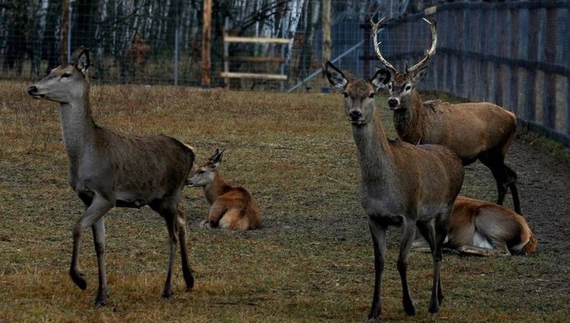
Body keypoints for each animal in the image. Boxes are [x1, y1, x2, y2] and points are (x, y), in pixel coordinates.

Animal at [27, 46, 195, 308]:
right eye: (51, 69)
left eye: (65, 74)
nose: (33, 88)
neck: (87, 155)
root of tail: (190, 153)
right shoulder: (87, 197)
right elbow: (100, 244)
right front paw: (101, 294)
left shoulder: (107, 194)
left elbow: (77, 227)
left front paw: (80, 279)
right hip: (159, 199)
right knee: (182, 218)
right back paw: (188, 279)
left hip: (171, 192)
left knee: (173, 235)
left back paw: (168, 289)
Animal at [324, 59, 462, 320]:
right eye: (346, 93)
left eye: (371, 93)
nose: (355, 113)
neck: (383, 188)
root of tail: (455, 158)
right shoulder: (374, 217)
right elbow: (379, 261)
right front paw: (374, 310)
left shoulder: (407, 215)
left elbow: (401, 262)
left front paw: (409, 306)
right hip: (424, 218)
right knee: (433, 247)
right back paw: (440, 296)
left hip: (446, 207)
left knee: (438, 251)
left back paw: (433, 304)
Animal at [368, 17, 520, 215]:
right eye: (390, 85)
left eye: (408, 86)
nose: (393, 101)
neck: (420, 131)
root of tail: (513, 117)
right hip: (488, 155)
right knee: (511, 176)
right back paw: (517, 212)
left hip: (497, 150)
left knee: (505, 180)